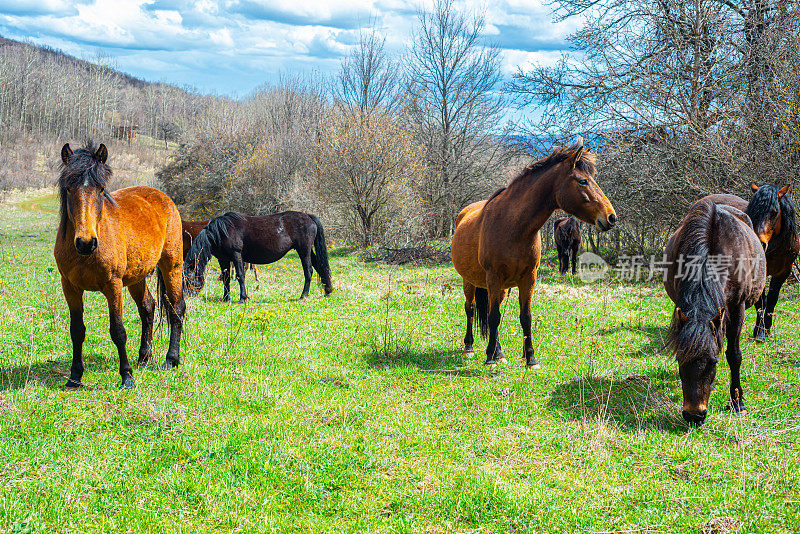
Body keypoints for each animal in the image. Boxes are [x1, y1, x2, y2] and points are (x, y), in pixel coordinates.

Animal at [54, 144, 184, 392]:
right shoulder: (70, 287)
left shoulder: (112, 285)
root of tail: (162, 197)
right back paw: (143, 358)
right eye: (68, 188)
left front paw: (126, 377)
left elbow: (118, 331)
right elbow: (77, 330)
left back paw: (171, 360)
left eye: (101, 188)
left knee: (176, 308)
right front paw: (74, 377)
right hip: (137, 277)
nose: (86, 243)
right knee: (148, 307)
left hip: (172, 265)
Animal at [183, 211, 332, 304]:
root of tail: (308, 216)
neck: (221, 231)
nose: (187, 298)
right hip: (307, 251)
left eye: (188, 279)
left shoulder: (236, 255)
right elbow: (226, 279)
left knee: (309, 271)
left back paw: (304, 295)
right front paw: (226, 298)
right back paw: (327, 291)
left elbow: (240, 276)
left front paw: (242, 298)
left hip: (304, 251)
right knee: (320, 267)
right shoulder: (223, 259)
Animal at [450, 139, 620, 368]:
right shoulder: (493, 277)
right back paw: (469, 347)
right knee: (471, 308)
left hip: (501, 287)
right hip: (470, 281)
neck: (513, 226)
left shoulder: (528, 278)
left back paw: (499, 352)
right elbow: (493, 316)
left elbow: (524, 317)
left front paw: (530, 358)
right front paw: (489, 359)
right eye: (583, 181)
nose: (611, 217)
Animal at [664, 198, 768, 428]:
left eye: (713, 362)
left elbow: (733, 354)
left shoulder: (737, 307)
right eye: (679, 360)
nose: (694, 416)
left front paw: (737, 401)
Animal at [704, 184, 796, 344]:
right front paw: (760, 333)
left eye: (775, 212)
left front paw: (767, 330)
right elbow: (761, 302)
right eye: (753, 210)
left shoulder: (783, 272)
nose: (759, 243)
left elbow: (772, 300)